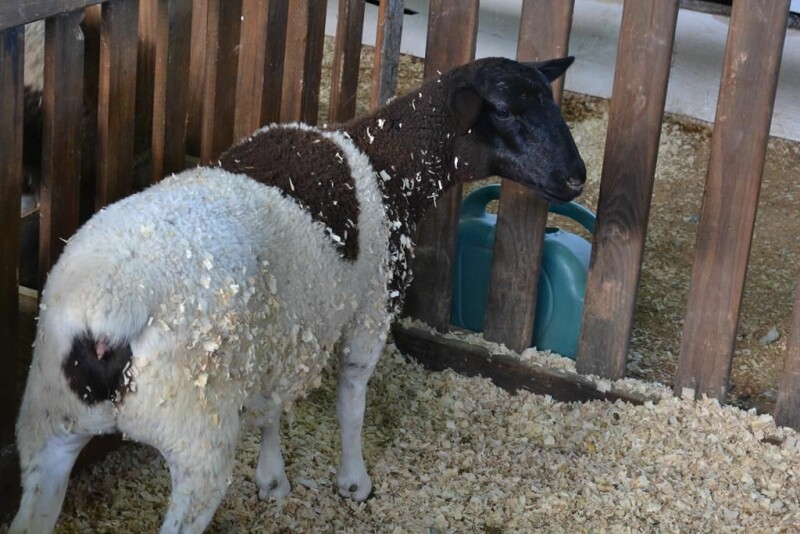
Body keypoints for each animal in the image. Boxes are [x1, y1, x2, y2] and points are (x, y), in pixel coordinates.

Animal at [9, 56, 584, 532]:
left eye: (550, 102)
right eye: (505, 110)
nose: (576, 178)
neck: (384, 164)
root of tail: (104, 317)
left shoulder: (284, 329)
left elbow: (272, 405)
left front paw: (272, 479)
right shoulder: (371, 313)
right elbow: (351, 402)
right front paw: (354, 481)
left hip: (48, 423)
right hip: (196, 441)